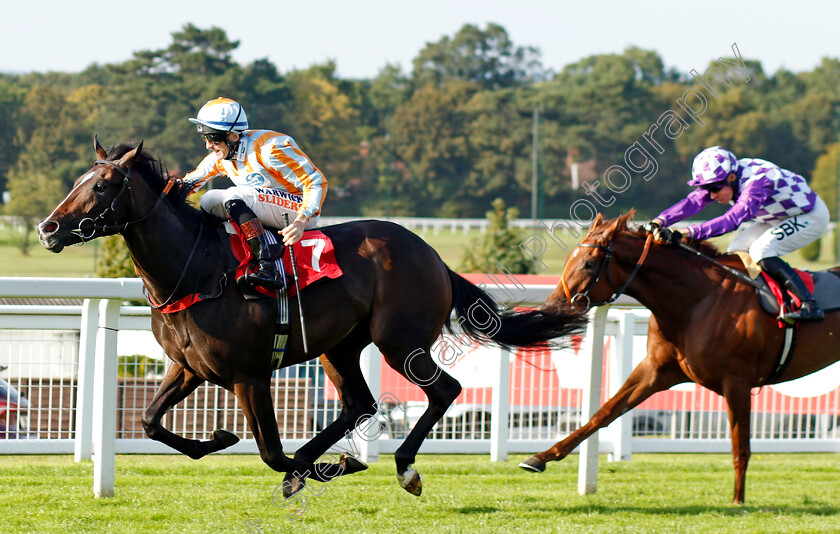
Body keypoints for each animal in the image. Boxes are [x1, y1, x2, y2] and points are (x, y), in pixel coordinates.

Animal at [34, 141, 584, 498]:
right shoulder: (189, 367)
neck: (197, 271)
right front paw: (222, 439)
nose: (48, 228)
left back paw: (403, 469)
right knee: (360, 404)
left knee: (443, 390)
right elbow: (150, 422)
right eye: (78, 181)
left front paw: (304, 463)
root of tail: (432, 255)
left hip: (399, 341)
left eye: (103, 185)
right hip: (338, 347)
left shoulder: (249, 376)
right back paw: (338, 457)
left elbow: (270, 452)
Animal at [520, 211, 840, 504]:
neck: (698, 301)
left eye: (588, 263)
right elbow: (604, 412)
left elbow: (740, 447)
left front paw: (737, 501)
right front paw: (539, 458)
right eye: (568, 260)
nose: (550, 308)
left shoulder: (737, 382)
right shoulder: (657, 370)